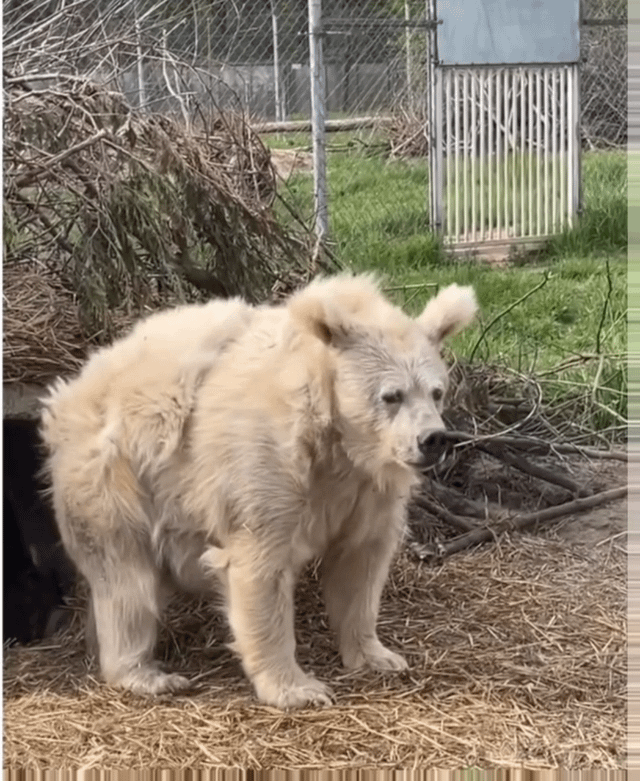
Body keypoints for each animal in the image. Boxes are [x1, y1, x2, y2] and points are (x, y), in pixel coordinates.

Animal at [40, 273, 478, 709]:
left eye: (436, 391)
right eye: (391, 395)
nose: (433, 439)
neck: (336, 442)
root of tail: (72, 389)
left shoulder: (366, 490)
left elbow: (361, 563)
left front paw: (378, 656)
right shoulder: (267, 465)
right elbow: (260, 567)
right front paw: (298, 688)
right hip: (115, 476)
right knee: (126, 579)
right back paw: (145, 674)